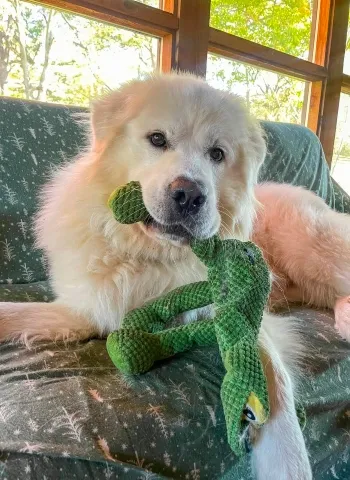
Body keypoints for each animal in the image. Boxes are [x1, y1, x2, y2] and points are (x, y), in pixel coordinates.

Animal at [0, 73, 350, 478]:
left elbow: (275, 383)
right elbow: (16, 313)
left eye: (217, 154)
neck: (152, 256)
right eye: (157, 139)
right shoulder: (90, 308)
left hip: (314, 248)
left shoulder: (244, 318)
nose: (188, 195)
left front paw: (289, 465)